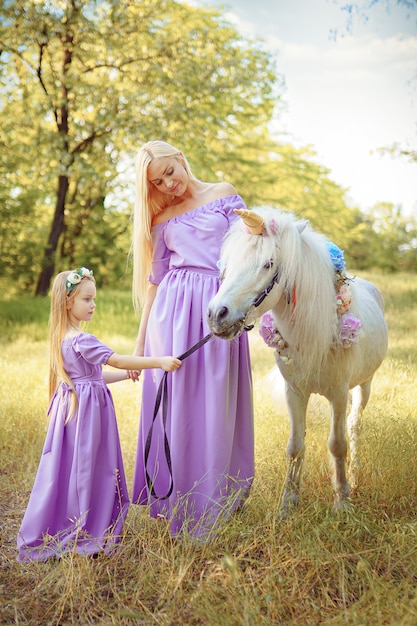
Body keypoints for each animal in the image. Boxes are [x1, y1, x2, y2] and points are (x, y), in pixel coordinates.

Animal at [207, 207, 386, 516]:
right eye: (227, 264)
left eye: (268, 263)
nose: (217, 314)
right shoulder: (295, 392)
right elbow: (295, 445)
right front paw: (288, 503)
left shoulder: (339, 394)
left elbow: (338, 444)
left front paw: (342, 501)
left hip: (364, 386)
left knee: (354, 426)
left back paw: (355, 474)